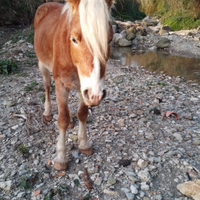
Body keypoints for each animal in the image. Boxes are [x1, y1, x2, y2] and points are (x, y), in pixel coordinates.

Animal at [33, 0, 113, 171]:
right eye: (74, 39)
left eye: (109, 40)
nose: (97, 94)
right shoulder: (61, 85)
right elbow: (62, 119)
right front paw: (61, 157)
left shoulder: (85, 90)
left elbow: (82, 114)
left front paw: (84, 144)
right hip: (42, 65)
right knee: (47, 85)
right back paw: (47, 112)